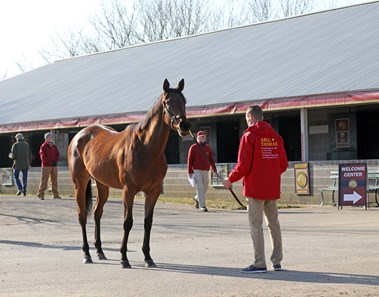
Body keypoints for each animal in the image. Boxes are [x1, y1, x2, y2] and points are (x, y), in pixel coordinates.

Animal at [67, 77, 191, 268]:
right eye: (167, 102)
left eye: (184, 102)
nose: (184, 125)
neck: (147, 148)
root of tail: (79, 136)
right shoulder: (129, 190)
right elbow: (128, 222)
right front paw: (124, 258)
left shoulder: (153, 191)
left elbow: (148, 222)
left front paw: (148, 257)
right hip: (79, 183)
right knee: (82, 216)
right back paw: (86, 254)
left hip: (102, 185)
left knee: (97, 213)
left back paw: (100, 251)